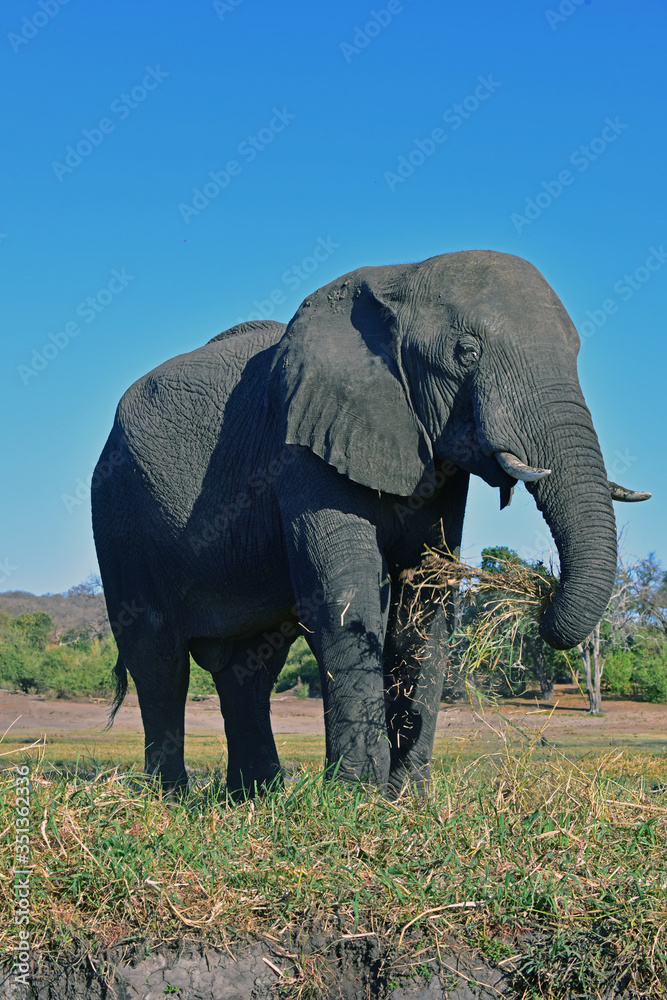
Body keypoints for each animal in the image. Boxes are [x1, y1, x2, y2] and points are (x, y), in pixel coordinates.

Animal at [92, 250, 650, 798]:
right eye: (466, 352)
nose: (542, 600)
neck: (400, 279)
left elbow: (424, 603)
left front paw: (408, 800)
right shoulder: (303, 443)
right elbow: (347, 599)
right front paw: (356, 796)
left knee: (251, 668)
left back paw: (257, 797)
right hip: (120, 514)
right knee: (157, 657)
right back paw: (168, 798)